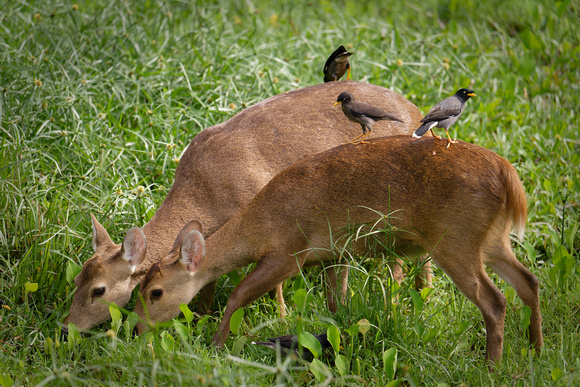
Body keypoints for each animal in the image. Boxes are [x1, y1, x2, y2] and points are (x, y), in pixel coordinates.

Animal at [63, 81, 428, 330]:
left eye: (99, 290)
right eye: (77, 279)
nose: (67, 328)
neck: (207, 192)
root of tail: (417, 113)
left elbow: (275, 285)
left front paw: (281, 317)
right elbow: (206, 282)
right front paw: (200, 317)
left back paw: (407, 298)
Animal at [134, 135, 540, 366]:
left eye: (155, 293)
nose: (137, 331)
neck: (259, 224)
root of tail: (508, 176)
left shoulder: (288, 252)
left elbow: (239, 294)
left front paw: (217, 345)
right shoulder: (333, 252)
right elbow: (335, 303)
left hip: (455, 238)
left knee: (494, 300)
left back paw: (491, 367)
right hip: (491, 240)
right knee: (529, 281)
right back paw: (535, 348)